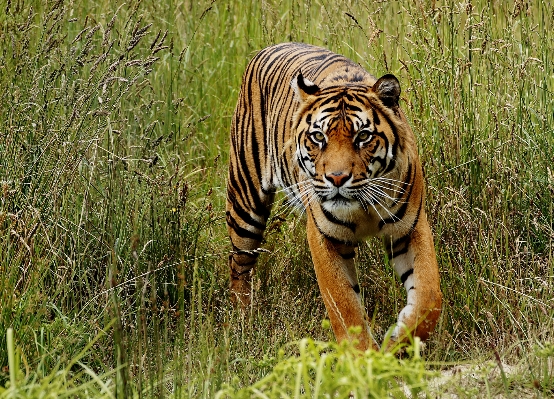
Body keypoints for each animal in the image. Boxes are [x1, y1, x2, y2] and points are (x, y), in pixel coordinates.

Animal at [224, 42, 440, 352]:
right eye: (318, 137)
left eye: (363, 137)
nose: (337, 178)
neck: (363, 207)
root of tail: (268, 48)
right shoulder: (324, 237)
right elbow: (344, 305)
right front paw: (364, 358)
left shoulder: (409, 228)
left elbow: (429, 297)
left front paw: (398, 343)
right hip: (245, 202)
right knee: (239, 263)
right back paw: (243, 321)